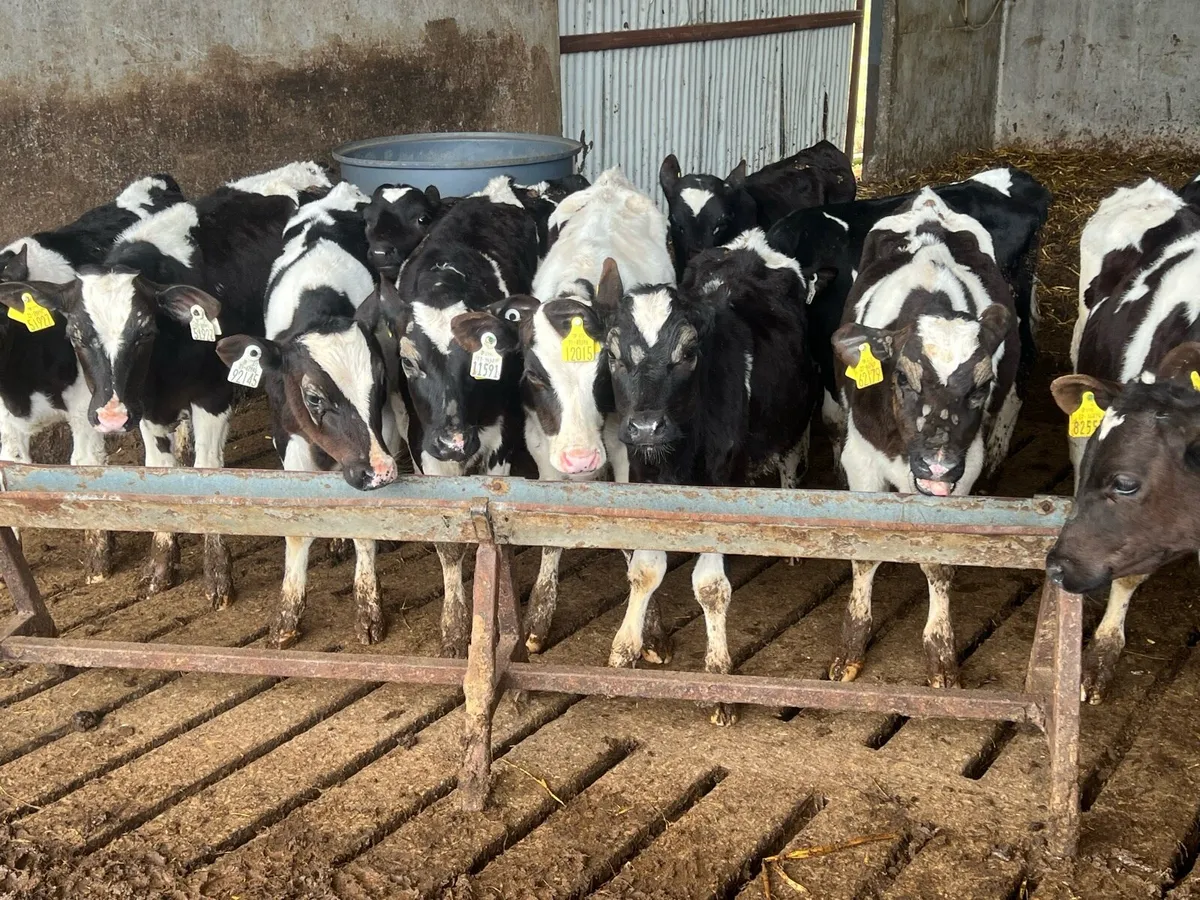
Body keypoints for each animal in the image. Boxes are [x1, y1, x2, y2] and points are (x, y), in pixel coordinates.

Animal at [216, 182, 406, 648]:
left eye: (378, 379)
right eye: (314, 397)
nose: (380, 471)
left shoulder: (384, 430)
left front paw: (368, 609)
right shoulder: (290, 438)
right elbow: (300, 524)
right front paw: (287, 615)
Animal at [376, 175, 539, 657]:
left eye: (484, 363)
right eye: (408, 362)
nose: (453, 441)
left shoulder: (500, 444)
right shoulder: (425, 449)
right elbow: (448, 545)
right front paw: (452, 626)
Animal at [460, 167, 674, 655]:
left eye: (605, 371)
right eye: (534, 375)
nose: (581, 459)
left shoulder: (626, 443)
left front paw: (649, 627)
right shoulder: (542, 444)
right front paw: (540, 614)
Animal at [598, 228, 818, 726]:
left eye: (689, 352)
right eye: (613, 353)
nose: (645, 426)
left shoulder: (721, 488)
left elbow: (711, 587)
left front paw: (718, 679)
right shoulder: (643, 477)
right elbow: (644, 570)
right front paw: (626, 647)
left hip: (796, 420)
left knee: (790, 465)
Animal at [828, 188, 1021, 690]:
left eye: (980, 386)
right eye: (901, 378)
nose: (936, 465)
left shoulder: (963, 471)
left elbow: (939, 559)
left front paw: (941, 655)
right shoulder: (861, 461)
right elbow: (864, 553)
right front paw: (850, 649)